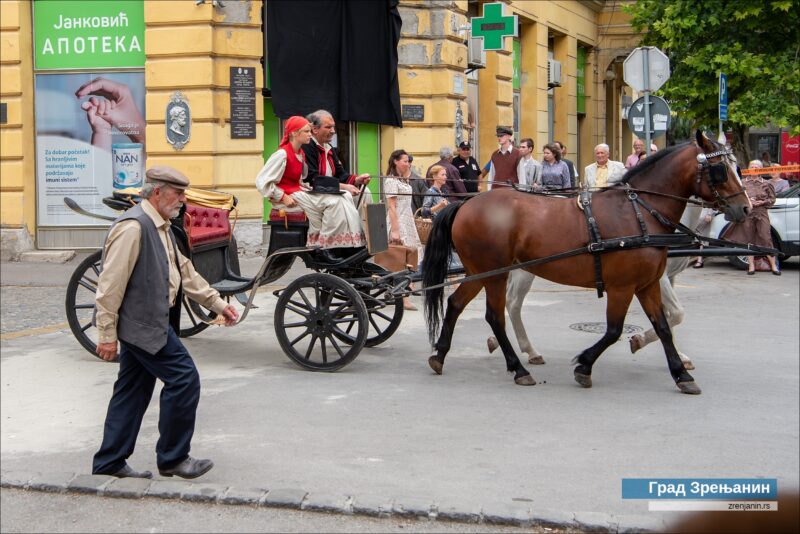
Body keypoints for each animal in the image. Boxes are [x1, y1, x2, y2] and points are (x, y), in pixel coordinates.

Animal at [484, 207, 704, 370]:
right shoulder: (660, 278)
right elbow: (677, 313)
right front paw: (641, 340)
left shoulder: (666, 277)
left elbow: (668, 317)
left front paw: (677, 355)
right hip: (524, 271)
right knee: (513, 302)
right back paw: (526, 348)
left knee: (509, 301)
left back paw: (502, 342)